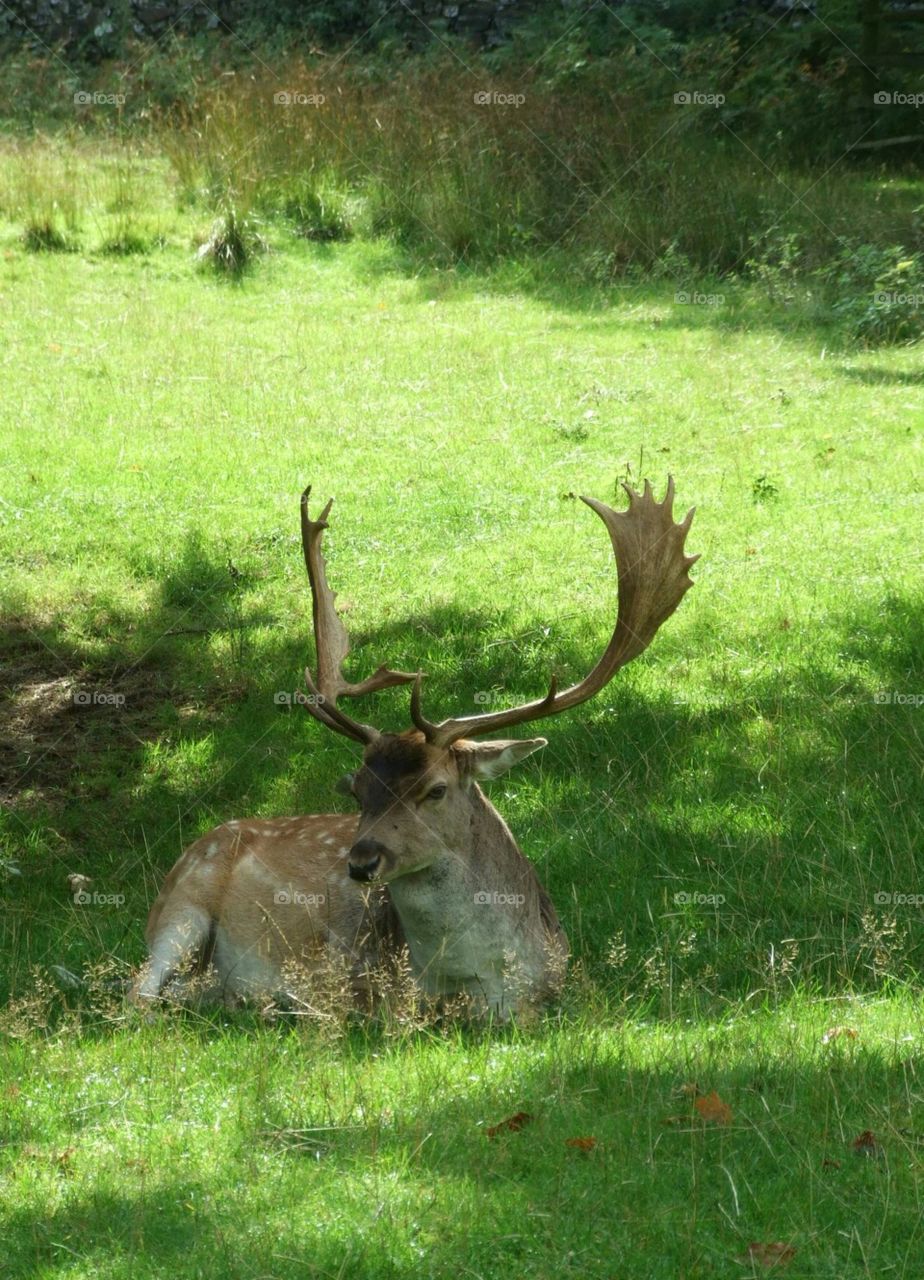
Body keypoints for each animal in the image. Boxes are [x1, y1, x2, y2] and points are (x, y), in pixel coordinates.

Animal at [131, 477, 697, 1018]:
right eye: (357, 790)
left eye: (436, 789)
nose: (361, 862)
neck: (477, 986)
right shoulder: (360, 980)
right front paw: (297, 1003)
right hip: (180, 908)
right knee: (139, 995)